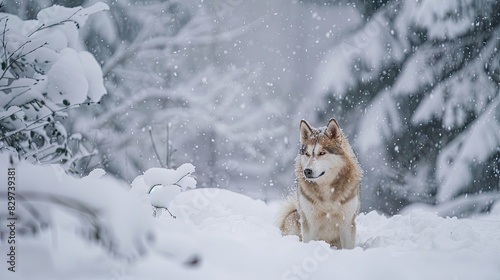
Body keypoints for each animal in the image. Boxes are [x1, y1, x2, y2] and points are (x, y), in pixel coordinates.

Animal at [278, 118, 364, 249]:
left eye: (322, 153)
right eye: (307, 154)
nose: (307, 171)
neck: (326, 189)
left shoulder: (347, 223)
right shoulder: (310, 223)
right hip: (293, 221)